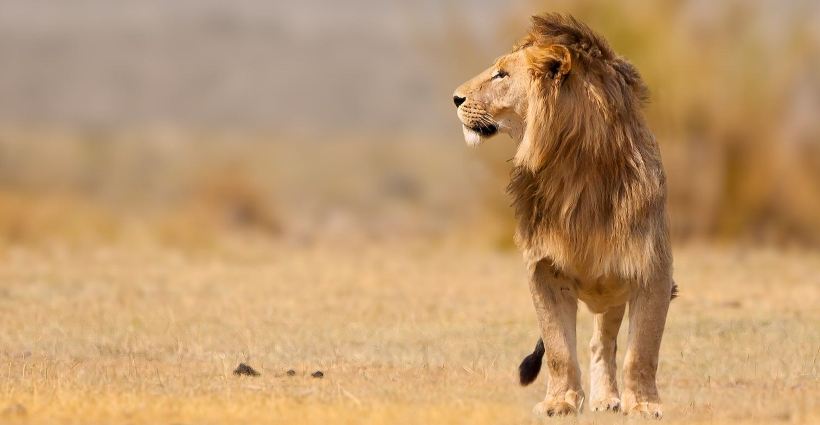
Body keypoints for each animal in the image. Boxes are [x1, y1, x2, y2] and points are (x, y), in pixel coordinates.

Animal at [452, 13, 676, 418]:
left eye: (502, 74)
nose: (455, 98)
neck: (572, 169)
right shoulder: (542, 269)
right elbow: (558, 350)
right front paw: (560, 402)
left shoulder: (651, 269)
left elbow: (641, 352)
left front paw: (644, 405)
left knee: (604, 343)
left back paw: (608, 399)